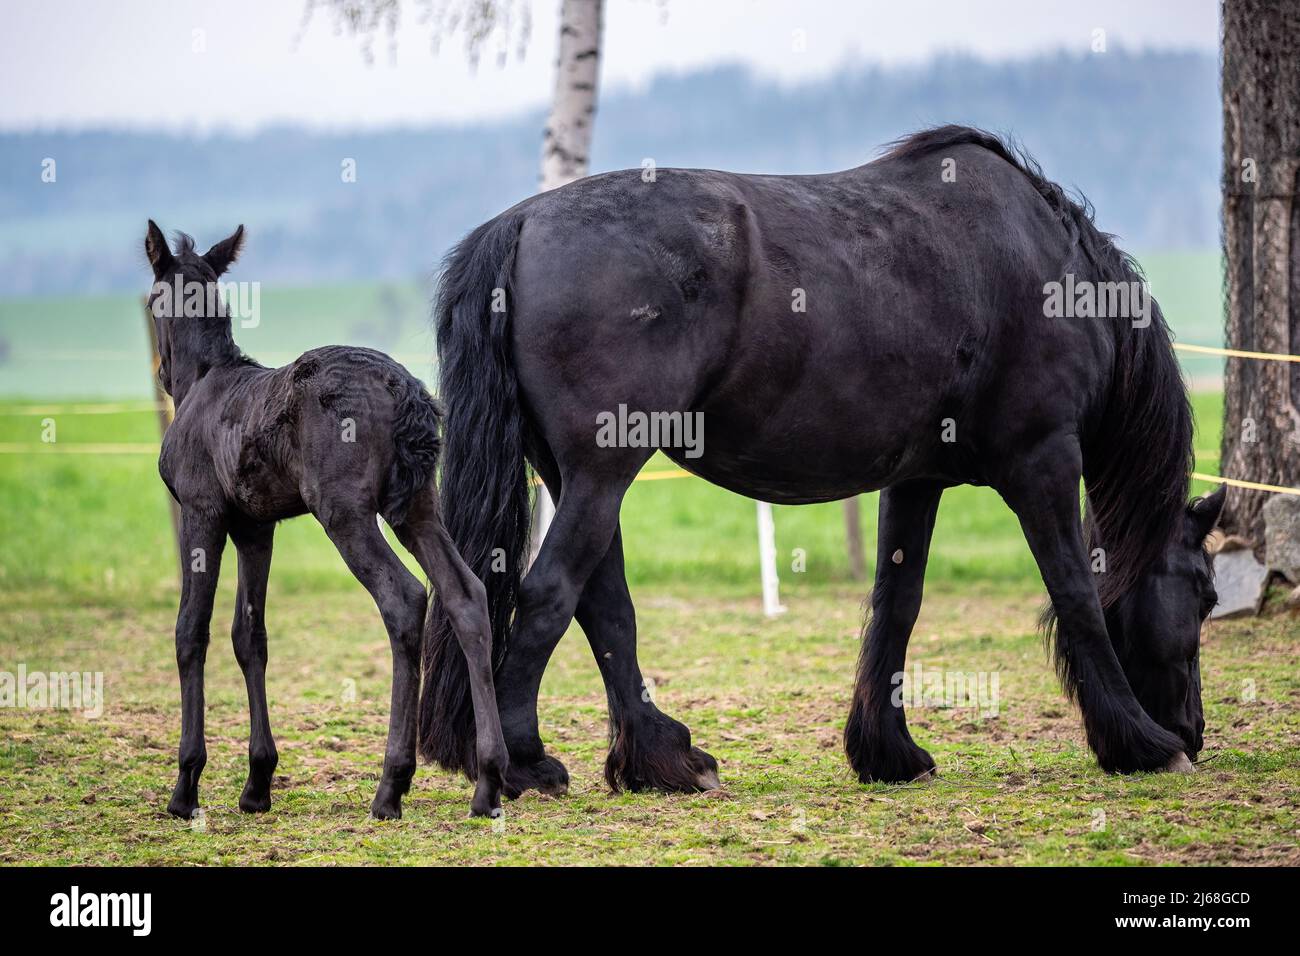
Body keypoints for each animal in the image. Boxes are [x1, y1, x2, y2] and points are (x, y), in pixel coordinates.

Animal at [143, 221, 507, 820]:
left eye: (151, 300)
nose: (162, 370)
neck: (203, 382)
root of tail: (406, 392)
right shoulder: (255, 526)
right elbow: (249, 635)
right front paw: (257, 782)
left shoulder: (202, 511)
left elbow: (190, 631)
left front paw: (186, 786)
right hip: (417, 505)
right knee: (465, 593)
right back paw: (488, 782)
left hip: (344, 510)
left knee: (405, 597)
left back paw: (391, 785)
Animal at [417, 126, 1225, 800]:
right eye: (1207, 594)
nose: (1193, 732)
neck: (1043, 262)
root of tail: (523, 223)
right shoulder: (1045, 459)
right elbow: (1077, 594)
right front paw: (1141, 743)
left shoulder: (917, 479)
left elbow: (898, 603)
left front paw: (888, 752)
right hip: (602, 472)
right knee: (552, 593)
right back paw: (525, 762)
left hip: (579, 477)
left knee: (603, 605)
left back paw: (663, 760)